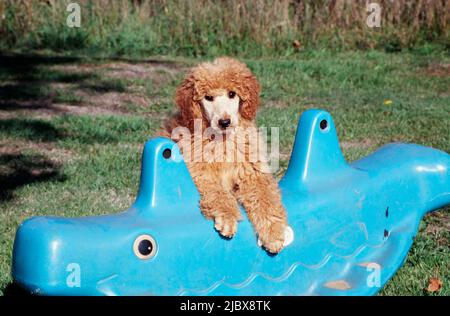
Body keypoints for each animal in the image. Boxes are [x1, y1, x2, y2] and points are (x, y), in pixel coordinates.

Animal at [161, 56, 288, 253]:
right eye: (208, 97)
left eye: (232, 94)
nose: (224, 122)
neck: (222, 140)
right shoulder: (200, 173)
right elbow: (218, 193)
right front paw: (228, 218)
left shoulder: (253, 173)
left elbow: (265, 196)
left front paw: (273, 233)